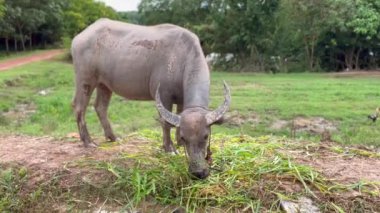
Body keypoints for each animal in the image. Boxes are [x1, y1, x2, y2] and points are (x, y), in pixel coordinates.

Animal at [71, 18, 232, 179]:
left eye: (205, 136)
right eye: (186, 138)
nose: (198, 172)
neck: (182, 57)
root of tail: (79, 37)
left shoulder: (181, 99)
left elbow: (177, 117)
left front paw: (178, 143)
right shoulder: (163, 95)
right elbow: (165, 123)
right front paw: (170, 148)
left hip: (104, 85)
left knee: (100, 107)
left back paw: (113, 137)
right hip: (85, 79)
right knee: (79, 107)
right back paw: (88, 141)